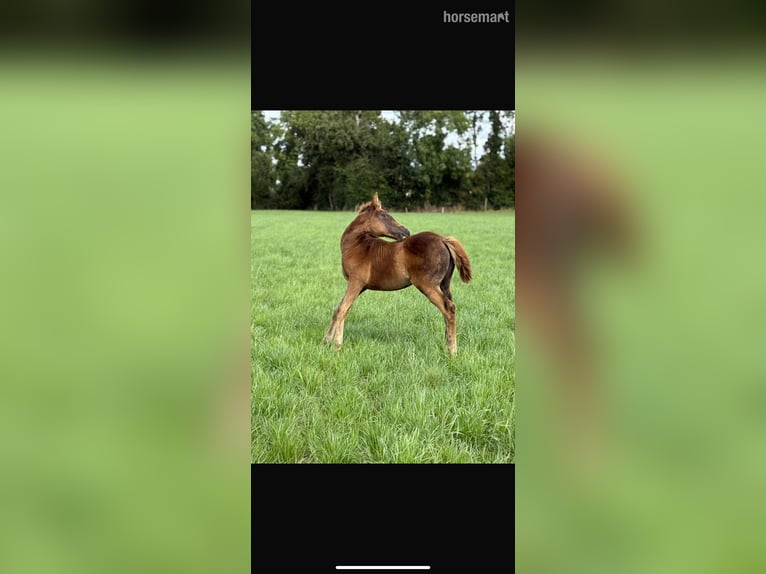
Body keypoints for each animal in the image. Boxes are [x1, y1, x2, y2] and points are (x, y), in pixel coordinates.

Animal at [321, 193, 472, 354]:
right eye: (384, 215)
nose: (406, 231)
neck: (356, 245)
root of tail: (443, 239)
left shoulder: (356, 282)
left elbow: (342, 309)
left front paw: (336, 346)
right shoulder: (359, 286)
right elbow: (341, 309)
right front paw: (325, 342)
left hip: (427, 285)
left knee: (449, 308)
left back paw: (452, 351)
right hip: (444, 285)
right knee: (449, 310)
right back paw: (448, 345)